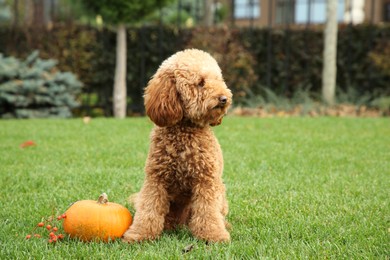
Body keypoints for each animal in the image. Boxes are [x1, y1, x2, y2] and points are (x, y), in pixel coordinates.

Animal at [122, 48, 232, 244]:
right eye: (200, 83)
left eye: (219, 80)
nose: (224, 99)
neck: (184, 131)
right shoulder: (156, 180)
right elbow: (149, 209)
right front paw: (139, 234)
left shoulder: (206, 181)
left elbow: (208, 212)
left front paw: (214, 235)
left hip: (220, 193)